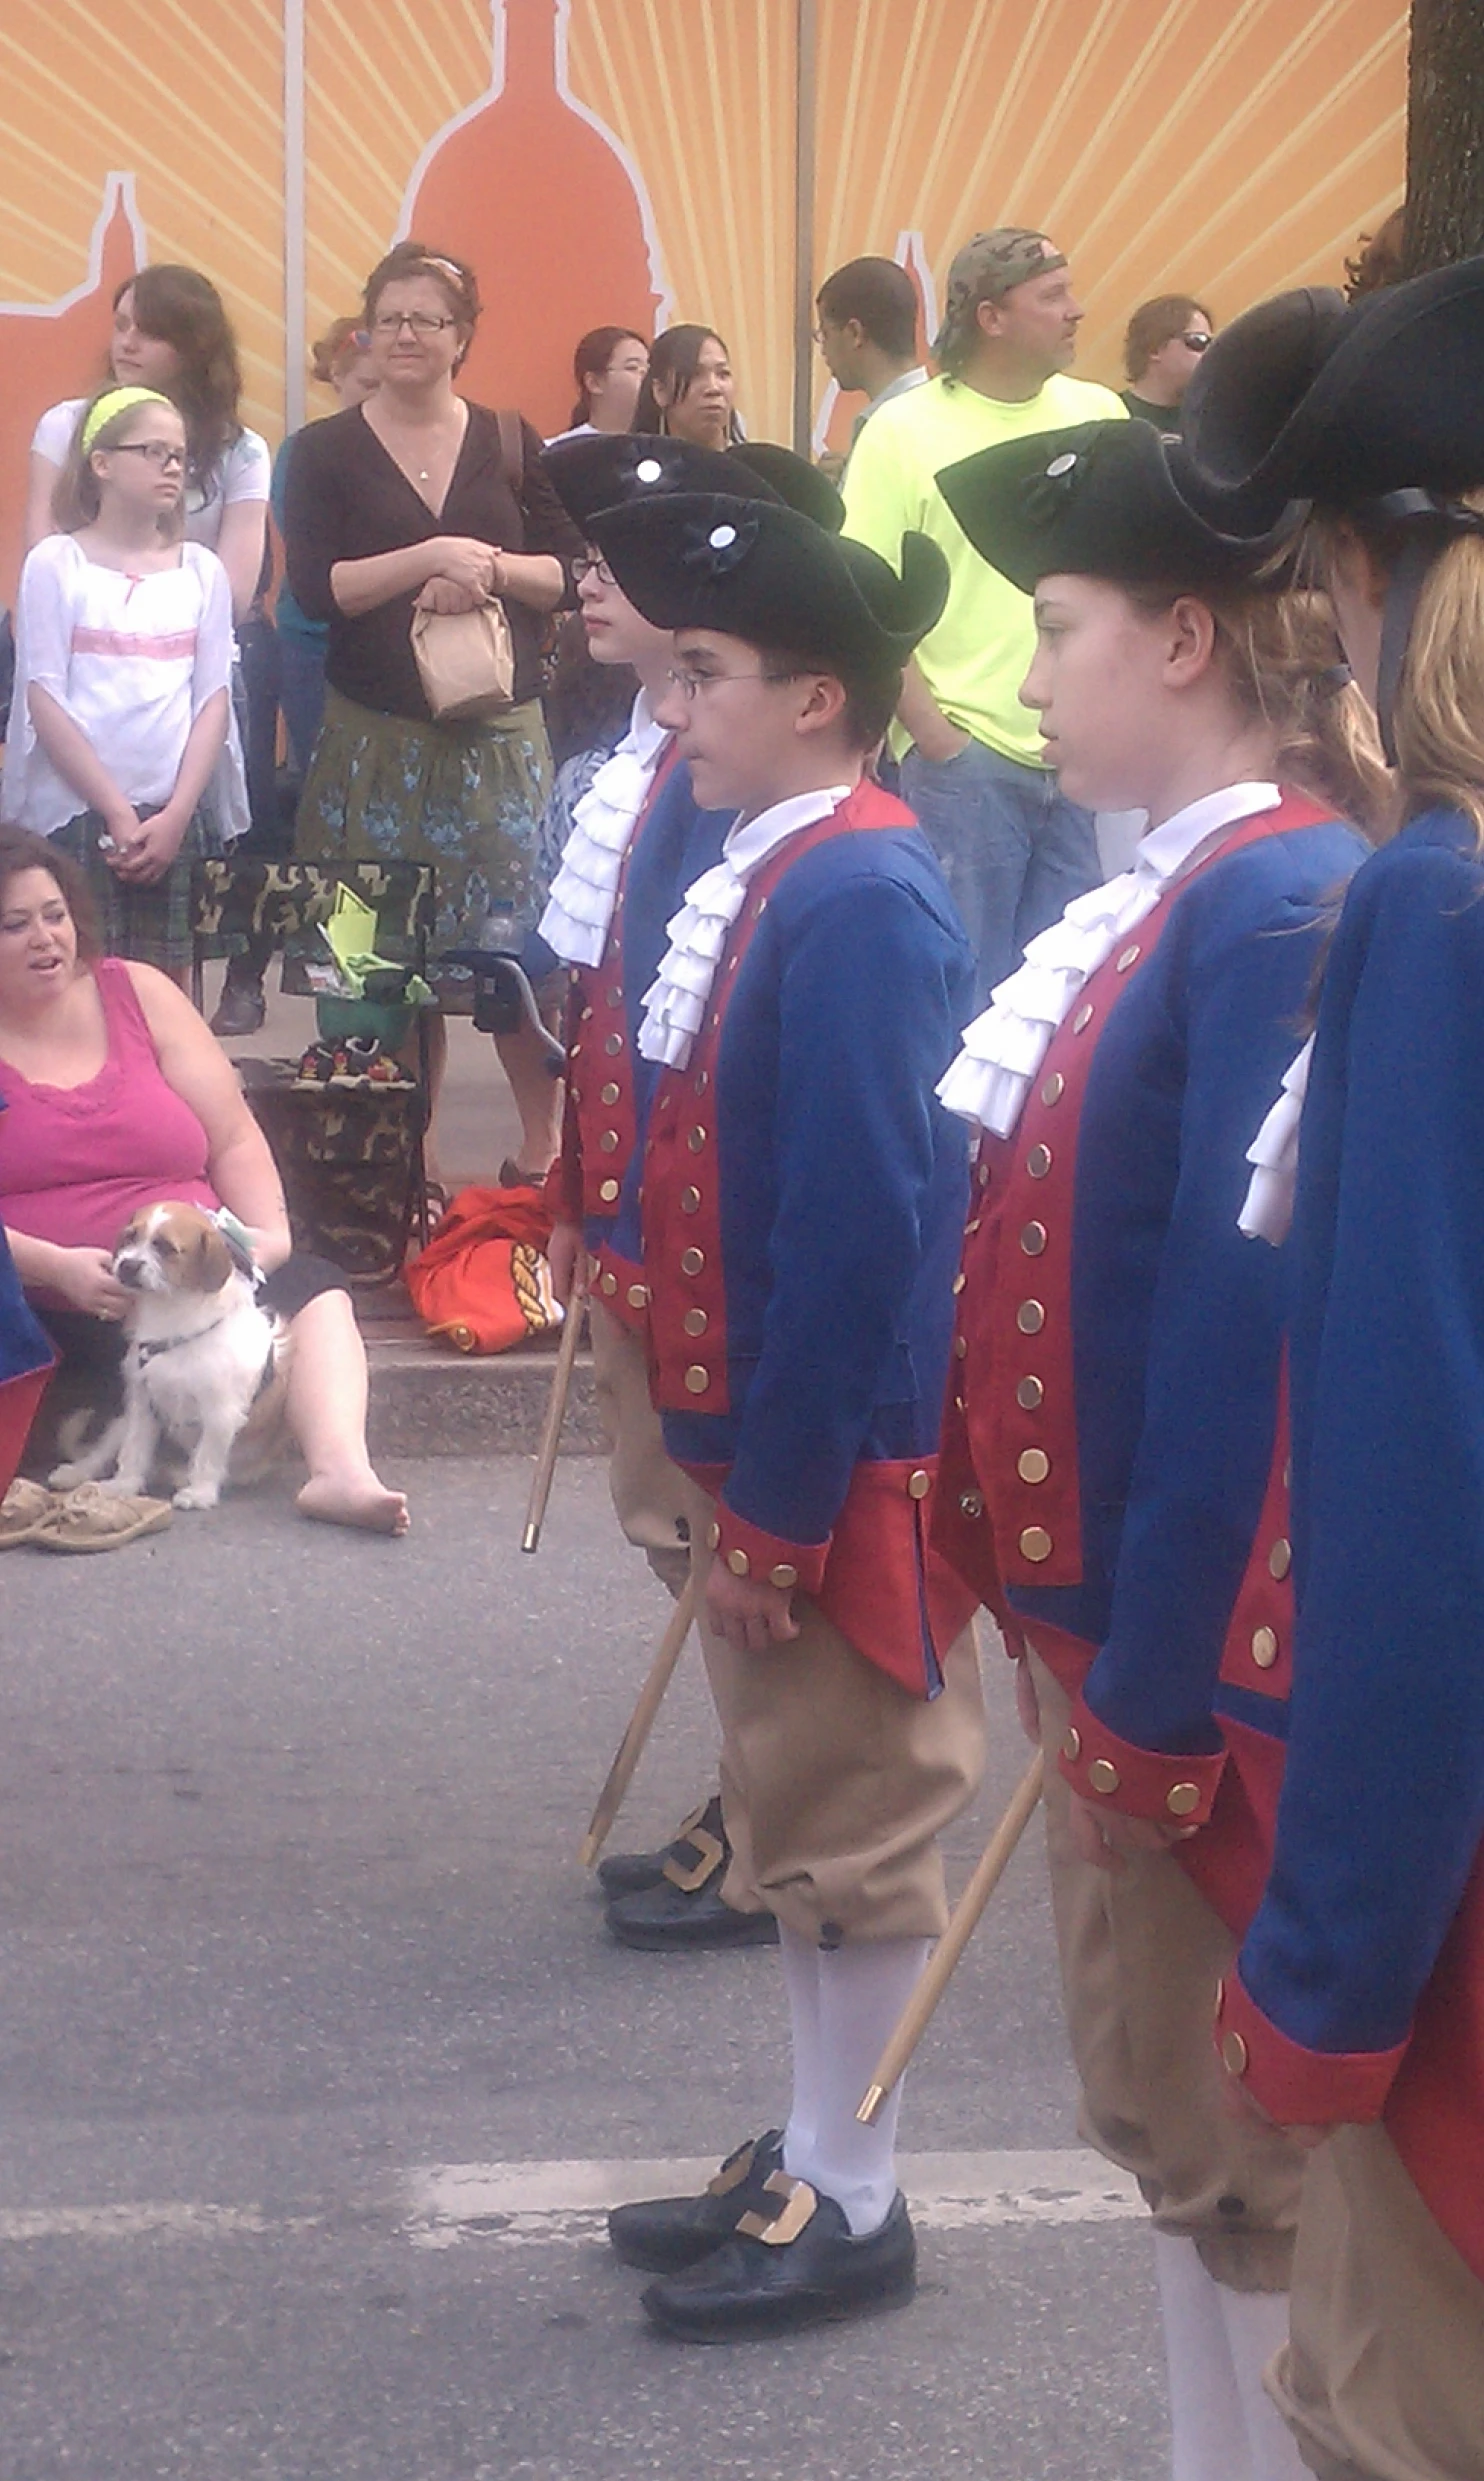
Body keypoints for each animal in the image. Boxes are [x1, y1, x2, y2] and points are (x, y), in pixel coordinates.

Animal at [51, 1200, 294, 1508]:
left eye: (166, 1247)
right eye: (131, 1237)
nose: (127, 1265)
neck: (172, 1316)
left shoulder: (220, 1413)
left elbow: (207, 1458)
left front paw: (200, 1493)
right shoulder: (142, 1402)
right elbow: (134, 1449)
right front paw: (123, 1485)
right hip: (122, 1422)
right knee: (103, 1451)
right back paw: (76, 1472)